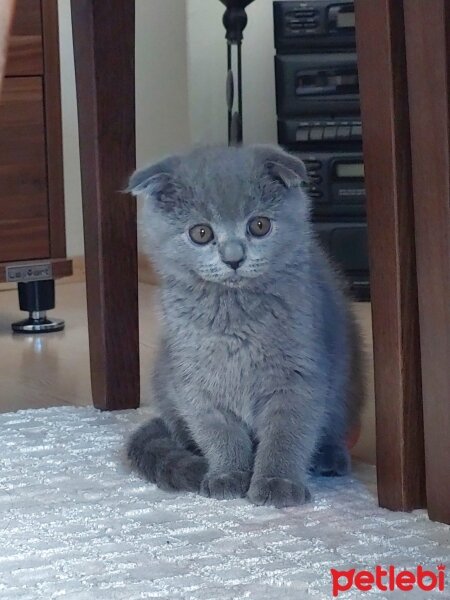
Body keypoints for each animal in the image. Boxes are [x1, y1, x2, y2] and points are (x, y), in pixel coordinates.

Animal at [125, 144, 364, 506]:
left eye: (260, 226)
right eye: (201, 233)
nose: (233, 258)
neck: (233, 317)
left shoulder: (297, 377)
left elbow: (287, 432)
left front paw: (277, 482)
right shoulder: (197, 380)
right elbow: (219, 431)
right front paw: (228, 474)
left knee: (334, 422)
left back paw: (329, 457)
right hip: (165, 376)